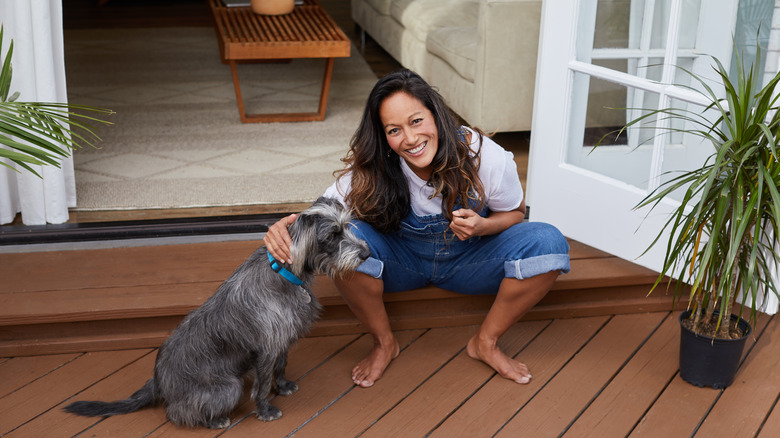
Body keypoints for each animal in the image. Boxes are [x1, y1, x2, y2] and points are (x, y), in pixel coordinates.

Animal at [64, 197, 368, 430]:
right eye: (332, 236)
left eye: (347, 227)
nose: (366, 253)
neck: (284, 272)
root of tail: (159, 379)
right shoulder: (266, 349)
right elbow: (262, 383)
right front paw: (266, 410)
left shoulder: (281, 339)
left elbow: (280, 366)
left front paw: (282, 387)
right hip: (228, 386)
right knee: (178, 413)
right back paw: (214, 420)